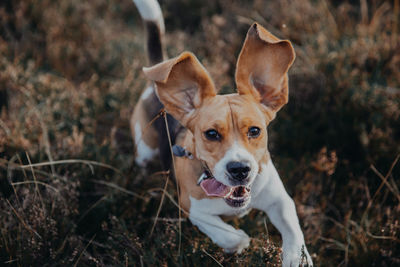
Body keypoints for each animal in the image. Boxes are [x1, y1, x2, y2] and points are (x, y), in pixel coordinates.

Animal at [131, 1, 312, 266]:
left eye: (255, 130)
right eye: (211, 134)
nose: (240, 169)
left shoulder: (280, 199)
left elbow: (293, 231)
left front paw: (297, 258)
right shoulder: (192, 207)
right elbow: (230, 235)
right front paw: (238, 242)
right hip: (144, 150)